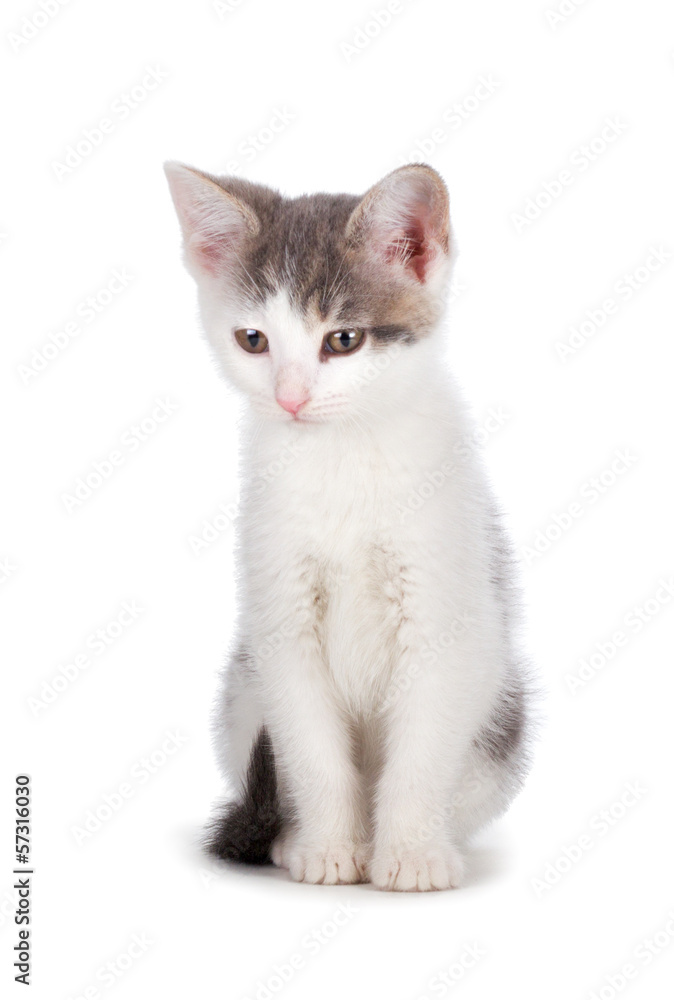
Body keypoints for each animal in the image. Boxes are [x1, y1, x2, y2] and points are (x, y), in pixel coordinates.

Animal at [164, 162, 532, 892]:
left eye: (343, 339)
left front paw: (412, 854)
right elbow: (310, 749)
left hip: (502, 709)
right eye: (253, 340)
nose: (290, 397)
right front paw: (329, 848)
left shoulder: (444, 614)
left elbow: (421, 752)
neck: (342, 457)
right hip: (241, 696)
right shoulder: (280, 623)